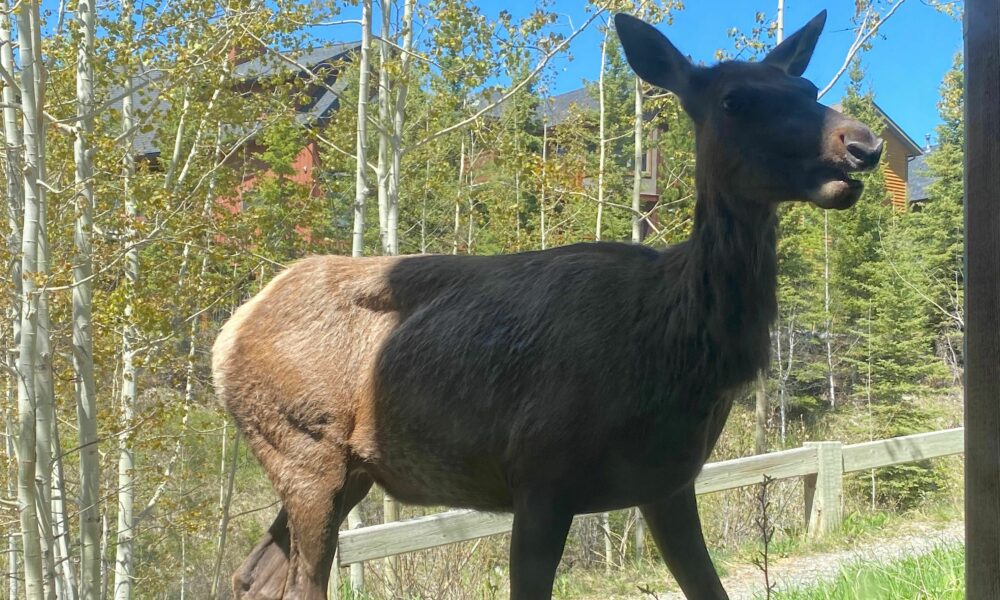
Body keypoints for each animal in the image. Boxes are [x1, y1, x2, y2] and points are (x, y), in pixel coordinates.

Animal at [213, 10, 884, 600]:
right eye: (734, 101)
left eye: (807, 87)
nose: (863, 143)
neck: (677, 349)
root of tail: (227, 336)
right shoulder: (540, 476)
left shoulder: (667, 481)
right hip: (305, 446)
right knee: (300, 581)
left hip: (347, 467)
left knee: (252, 575)